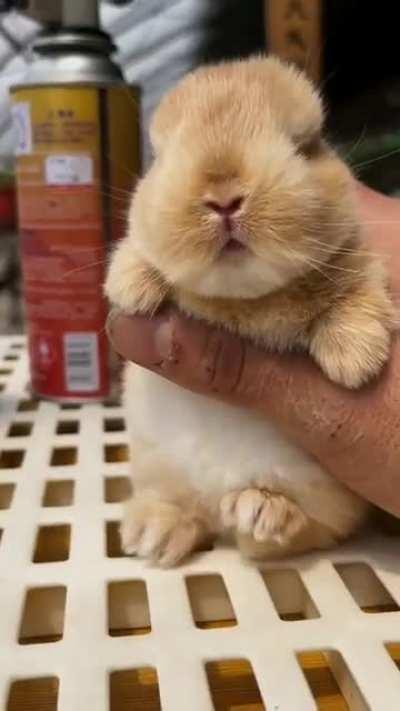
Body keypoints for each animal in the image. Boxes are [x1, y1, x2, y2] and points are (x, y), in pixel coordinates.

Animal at [105, 55, 396, 567]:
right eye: (159, 157)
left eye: (306, 144)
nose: (223, 197)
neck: (242, 303)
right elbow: (136, 253)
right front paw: (132, 288)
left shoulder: (361, 265)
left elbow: (358, 293)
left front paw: (354, 364)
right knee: (185, 509)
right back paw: (153, 533)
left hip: (322, 496)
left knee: (290, 533)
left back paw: (259, 511)